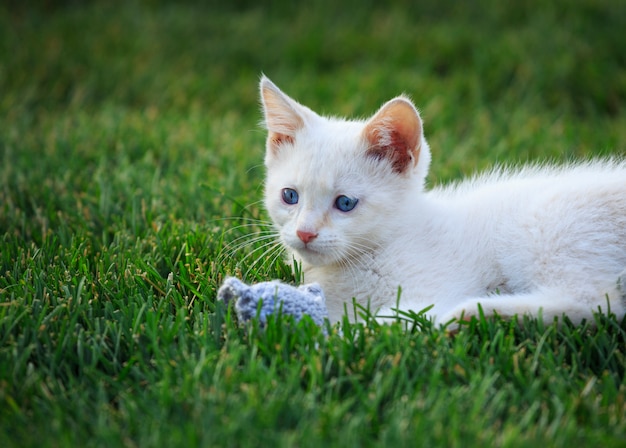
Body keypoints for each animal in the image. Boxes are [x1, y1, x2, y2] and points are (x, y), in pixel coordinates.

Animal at [258, 76, 624, 326]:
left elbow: (393, 321)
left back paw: (474, 312)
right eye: (290, 196)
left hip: (546, 227)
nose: (305, 233)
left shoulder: (428, 291)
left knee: (595, 303)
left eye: (345, 203)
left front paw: (339, 337)